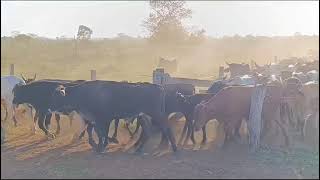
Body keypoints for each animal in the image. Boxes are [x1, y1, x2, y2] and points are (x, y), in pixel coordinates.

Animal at [49, 80, 178, 153]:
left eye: (57, 97)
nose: (49, 108)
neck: (84, 93)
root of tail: (159, 87)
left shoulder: (103, 119)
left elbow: (101, 133)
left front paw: (102, 146)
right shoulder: (94, 119)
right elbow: (95, 132)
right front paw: (99, 145)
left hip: (156, 114)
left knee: (166, 128)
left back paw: (175, 149)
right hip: (144, 116)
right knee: (147, 132)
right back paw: (138, 149)